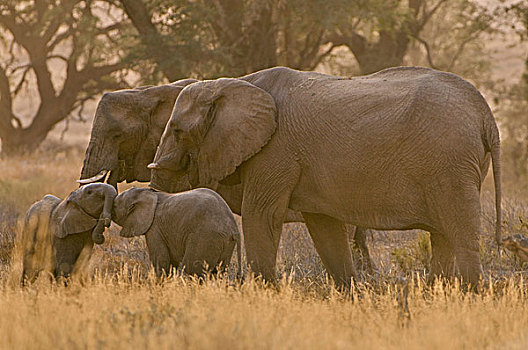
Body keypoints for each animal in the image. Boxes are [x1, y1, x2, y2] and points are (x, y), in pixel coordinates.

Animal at [113, 187, 243, 278]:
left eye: (114, 205)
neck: (149, 192)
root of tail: (233, 229)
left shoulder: (154, 228)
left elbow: (161, 261)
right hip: (224, 243)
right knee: (218, 272)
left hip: (206, 237)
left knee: (191, 270)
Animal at [147, 65, 500, 288]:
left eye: (177, 131)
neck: (233, 83)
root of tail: (486, 116)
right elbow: (324, 227)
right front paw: (350, 295)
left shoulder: (275, 151)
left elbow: (260, 215)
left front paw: (264, 294)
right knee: (444, 238)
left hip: (452, 164)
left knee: (461, 235)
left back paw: (469, 296)